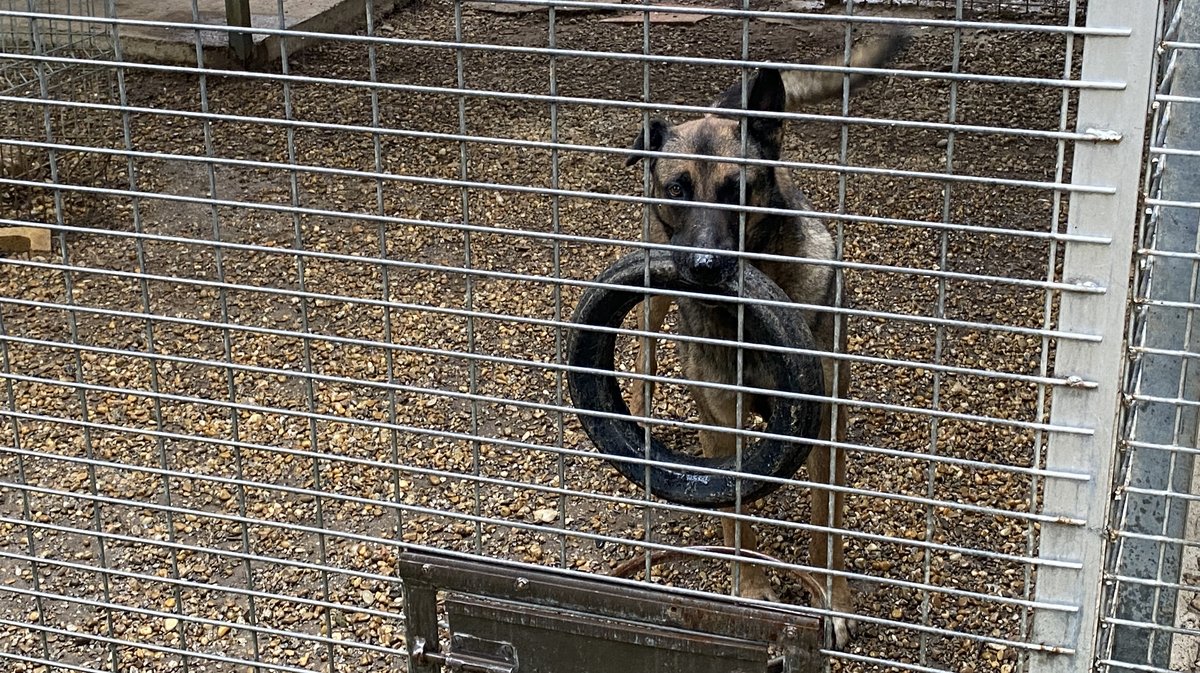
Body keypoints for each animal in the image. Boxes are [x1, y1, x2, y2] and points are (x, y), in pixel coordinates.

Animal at [624, 31, 902, 647]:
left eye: (738, 191)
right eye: (678, 189)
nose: (704, 267)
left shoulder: (825, 423)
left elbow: (826, 518)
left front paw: (833, 601)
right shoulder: (720, 419)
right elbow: (737, 517)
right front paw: (750, 593)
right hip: (654, 295)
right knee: (646, 353)